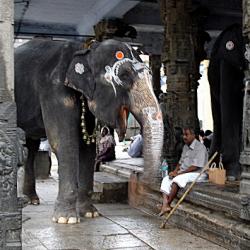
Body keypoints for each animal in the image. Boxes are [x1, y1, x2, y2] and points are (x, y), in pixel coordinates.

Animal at [15, 39, 164, 225]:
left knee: (31, 146)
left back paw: (32, 200)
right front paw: (66, 219)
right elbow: (64, 143)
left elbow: (87, 148)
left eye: (150, 75)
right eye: (124, 76)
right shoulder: (54, 91)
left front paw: (90, 213)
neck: (85, 50)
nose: (142, 178)